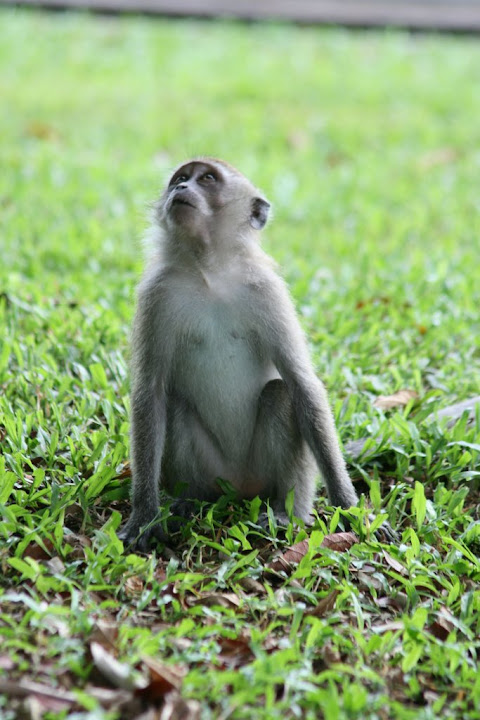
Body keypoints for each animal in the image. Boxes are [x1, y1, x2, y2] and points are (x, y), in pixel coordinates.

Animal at [118, 157, 361, 551]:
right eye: (180, 178)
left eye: (207, 179)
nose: (180, 189)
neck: (209, 272)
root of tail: (239, 488)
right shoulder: (156, 294)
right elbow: (150, 392)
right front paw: (144, 514)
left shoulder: (267, 291)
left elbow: (301, 384)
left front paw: (347, 505)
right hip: (215, 471)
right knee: (176, 402)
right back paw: (191, 500)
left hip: (259, 470)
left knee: (280, 394)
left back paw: (285, 512)